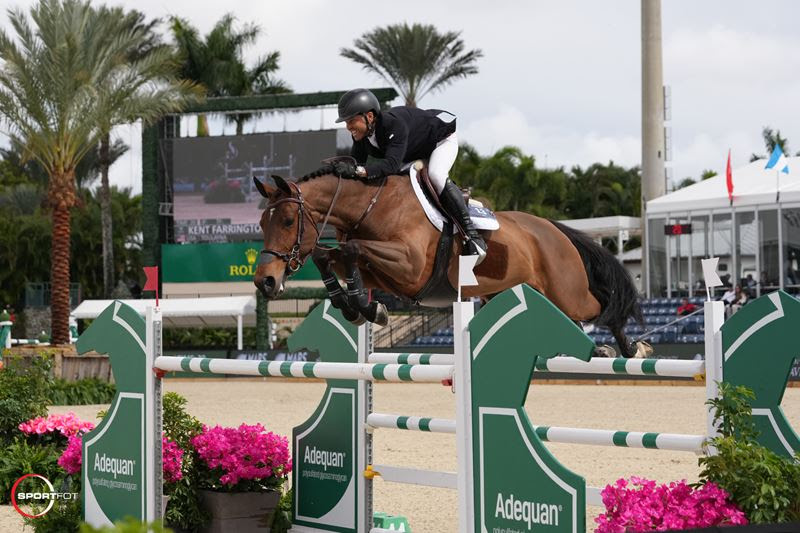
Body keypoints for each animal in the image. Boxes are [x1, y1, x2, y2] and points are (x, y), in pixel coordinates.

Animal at [256, 169, 644, 358]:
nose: (264, 281)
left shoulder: (409, 267)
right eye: (261, 223)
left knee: (604, 307)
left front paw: (365, 309)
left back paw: (627, 347)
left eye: (288, 221)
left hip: (567, 290)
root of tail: (552, 228)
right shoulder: (383, 273)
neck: (372, 205)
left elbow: (350, 249)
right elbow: (332, 255)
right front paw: (360, 308)